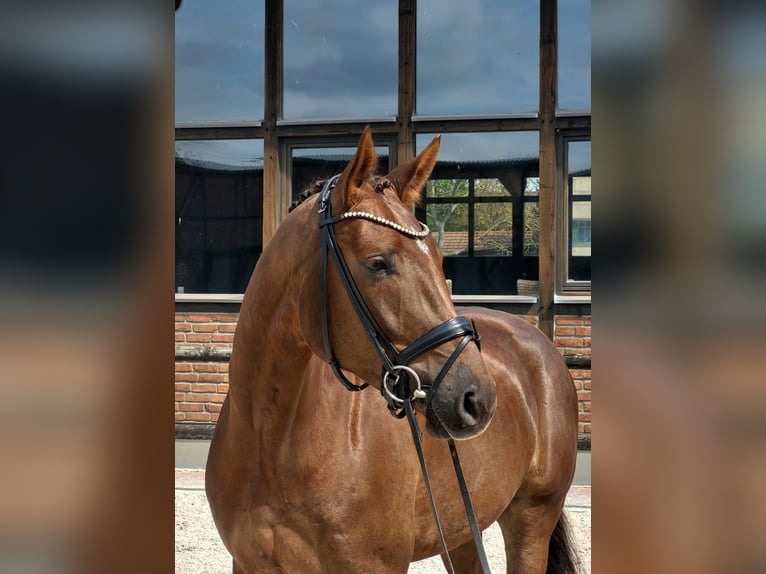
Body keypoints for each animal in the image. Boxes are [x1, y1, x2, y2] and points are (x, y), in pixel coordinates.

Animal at [207, 128, 580, 572]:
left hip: (531, 518)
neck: (271, 443)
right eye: (378, 263)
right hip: (460, 530)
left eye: (438, 257)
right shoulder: (248, 563)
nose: (476, 398)